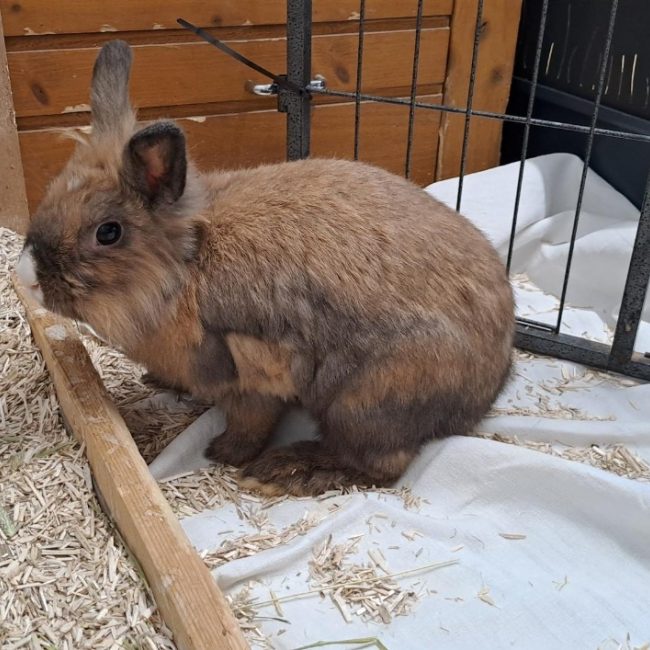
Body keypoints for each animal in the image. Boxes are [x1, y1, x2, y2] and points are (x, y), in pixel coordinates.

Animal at [16, 40, 515, 497]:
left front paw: (223, 454)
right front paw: (157, 381)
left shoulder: (250, 373)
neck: (186, 267)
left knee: (382, 464)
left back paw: (286, 471)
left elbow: (251, 421)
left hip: (365, 402)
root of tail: (487, 385)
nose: (26, 276)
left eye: (108, 232)